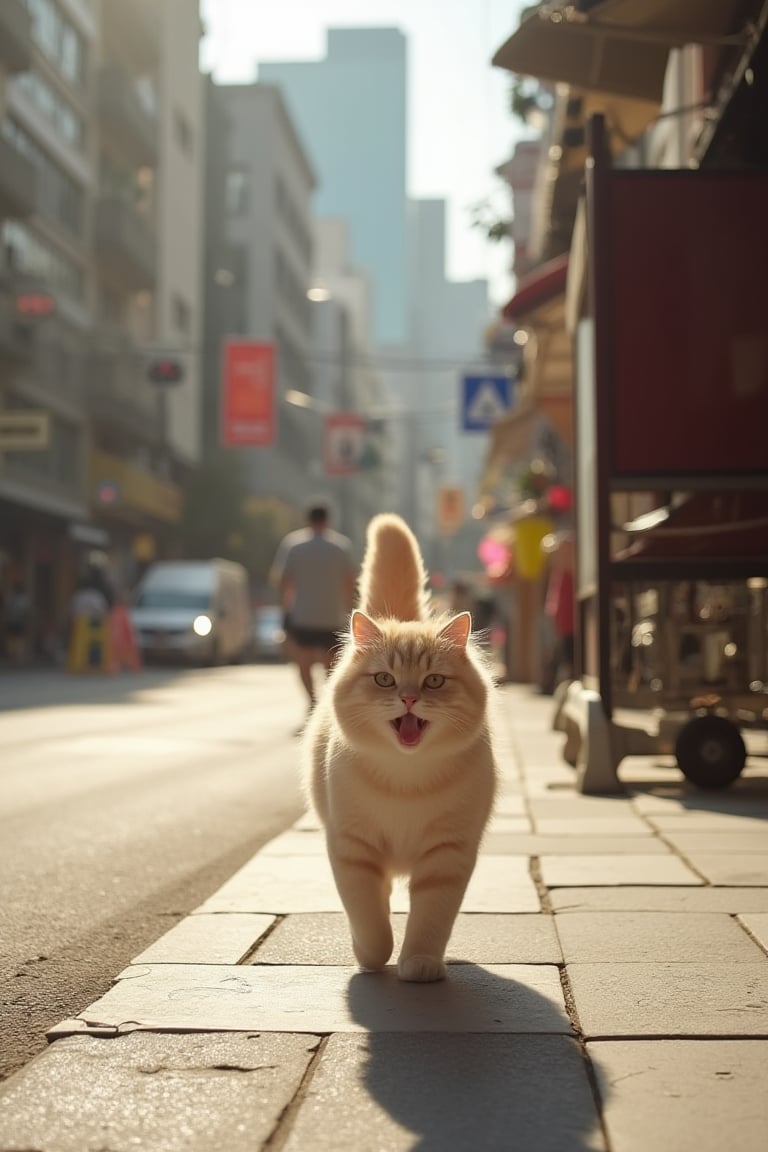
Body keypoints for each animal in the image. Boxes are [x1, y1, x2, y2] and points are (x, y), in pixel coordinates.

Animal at [303, 513, 502, 981]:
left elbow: (431, 917)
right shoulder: (352, 850)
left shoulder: (447, 855)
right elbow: (369, 918)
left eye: (434, 681)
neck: (406, 781)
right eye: (384, 680)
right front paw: (371, 957)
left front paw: (420, 963)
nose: (409, 698)